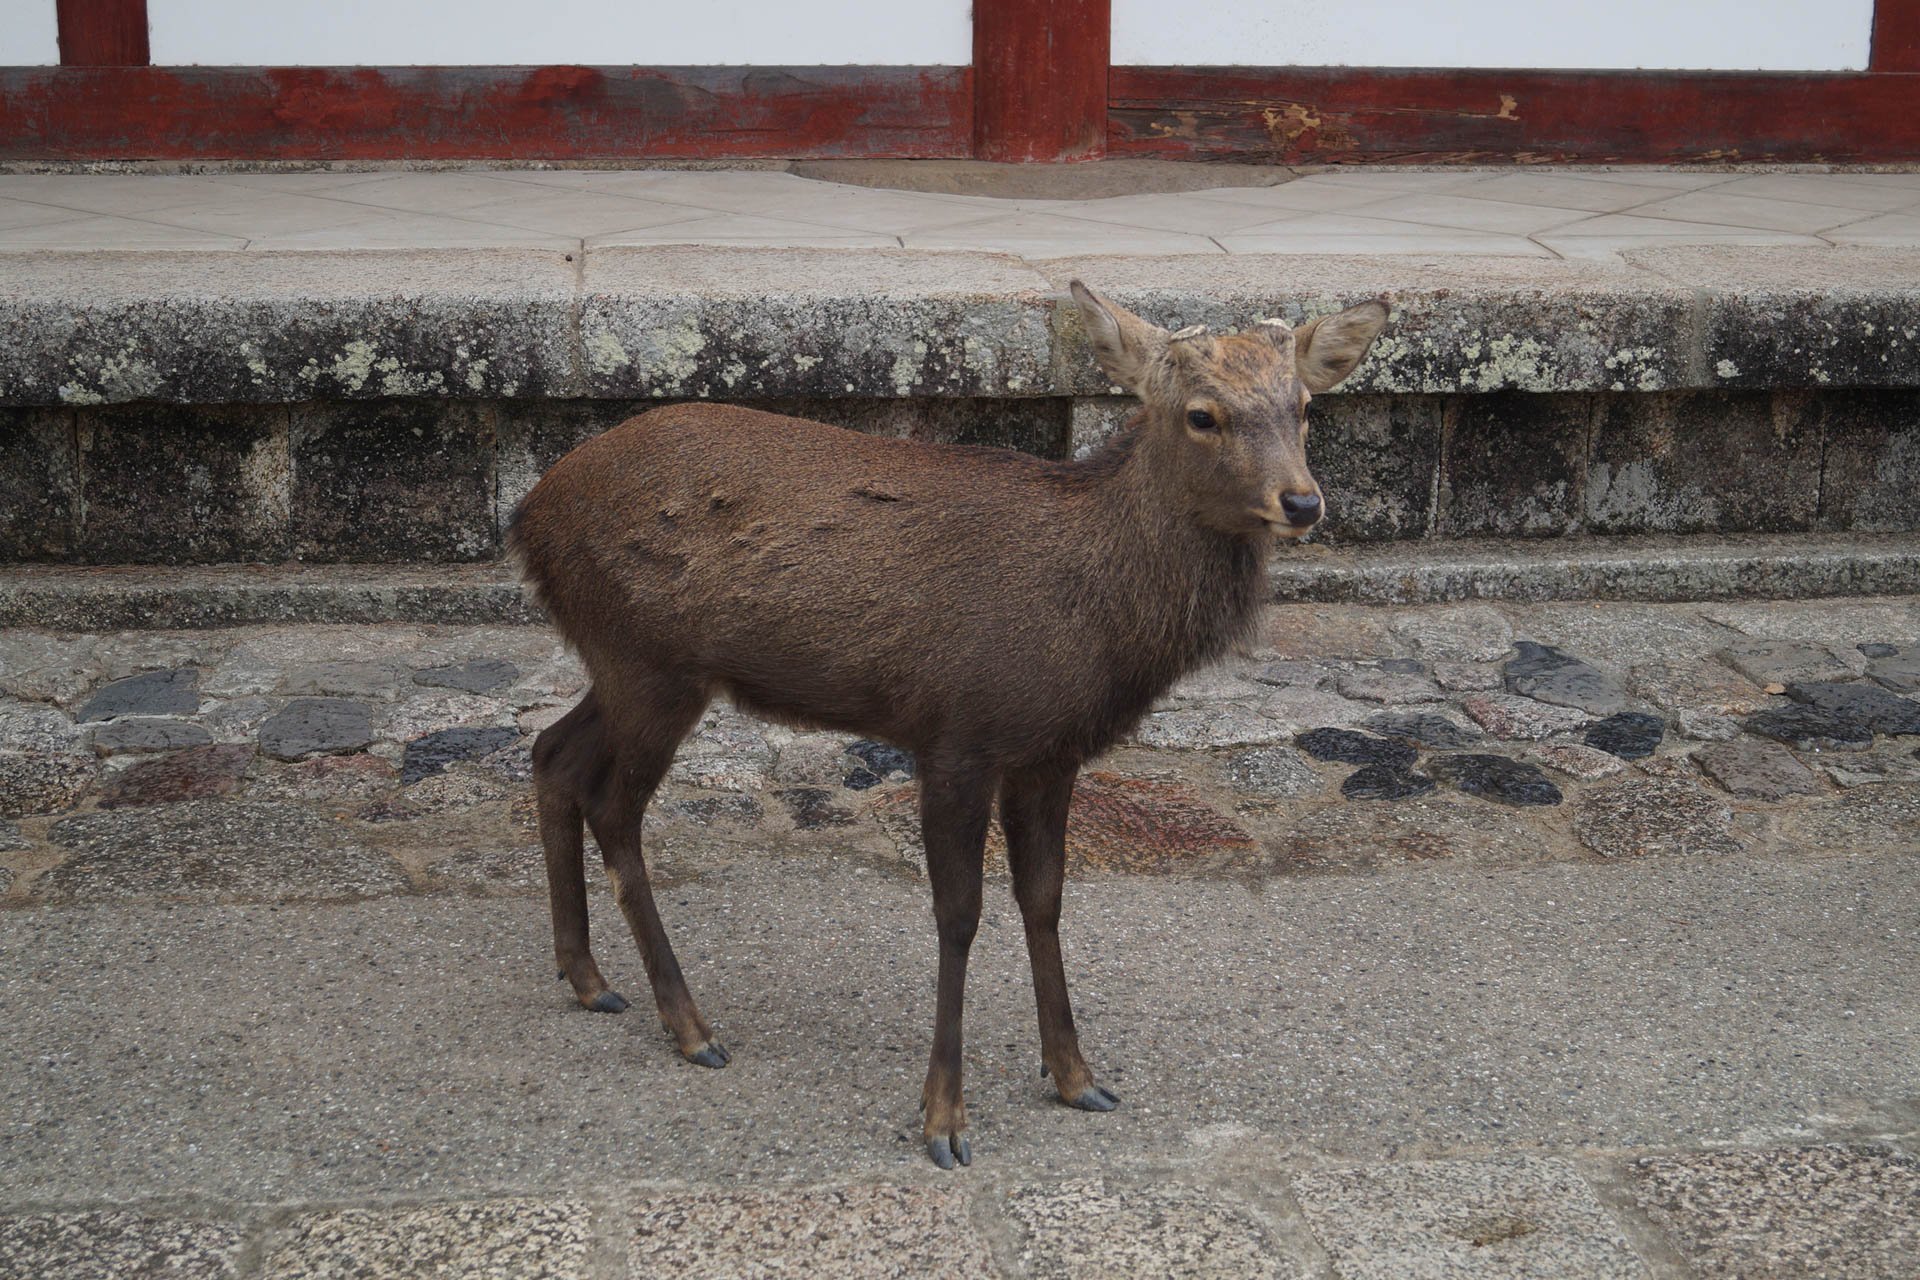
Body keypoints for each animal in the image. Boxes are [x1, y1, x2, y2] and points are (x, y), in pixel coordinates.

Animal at [509, 281, 1389, 1169]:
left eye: (1305, 407)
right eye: (1202, 414)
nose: (1303, 501)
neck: (1091, 626)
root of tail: (527, 517)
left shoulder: (1050, 752)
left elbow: (1045, 899)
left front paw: (1076, 1077)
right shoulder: (957, 732)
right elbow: (959, 916)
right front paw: (944, 1118)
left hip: (623, 664)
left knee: (552, 753)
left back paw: (587, 978)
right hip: (649, 662)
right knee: (612, 806)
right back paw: (690, 1026)